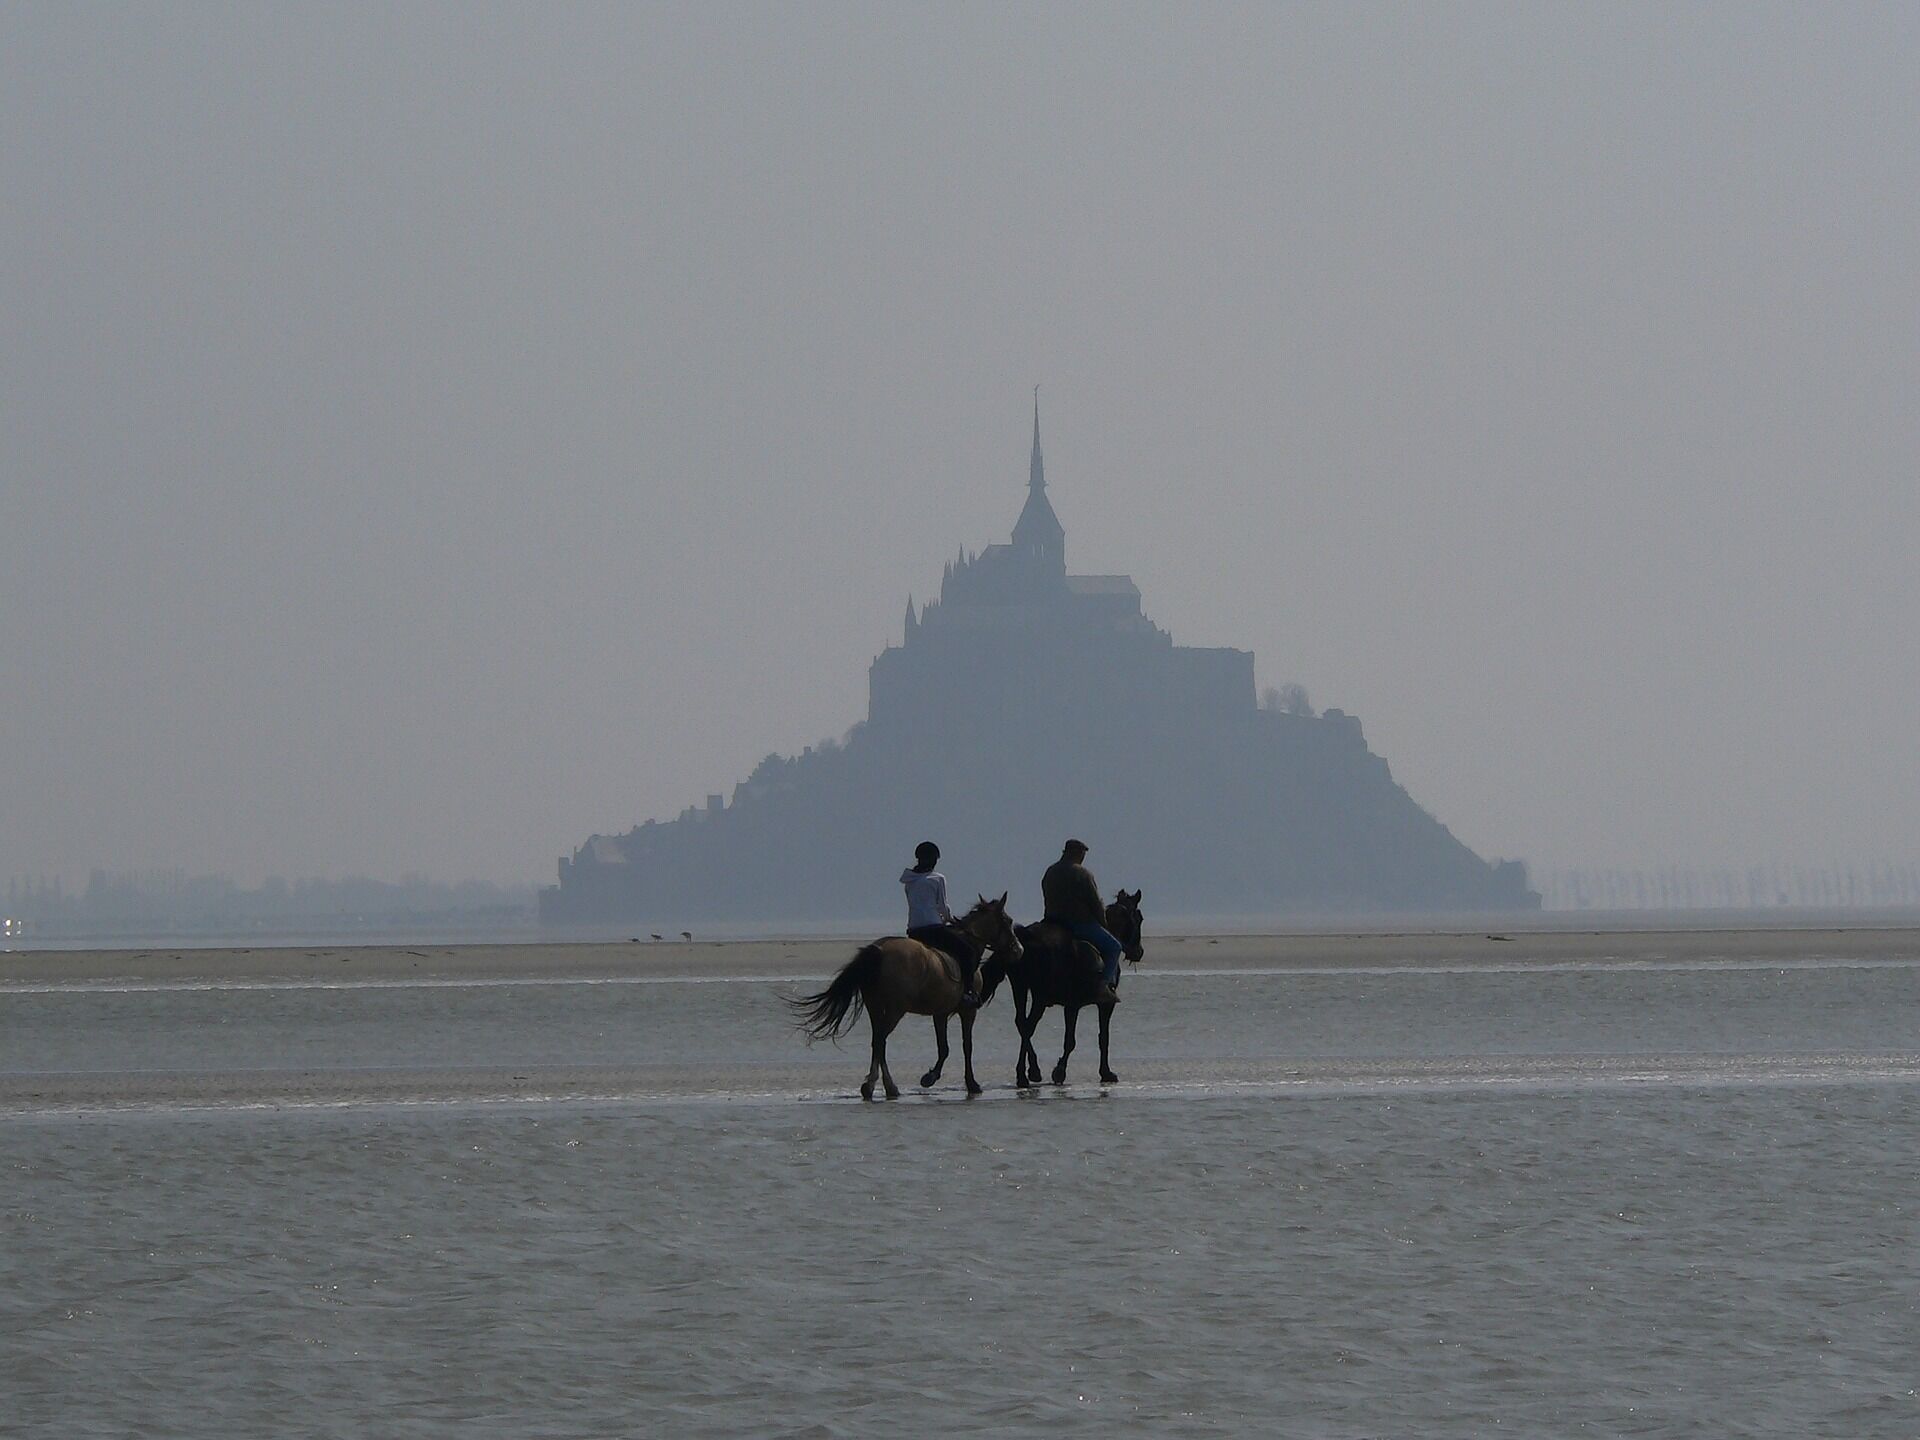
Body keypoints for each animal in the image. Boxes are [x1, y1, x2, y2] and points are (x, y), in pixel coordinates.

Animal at [783, 890, 1021, 1105]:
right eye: (1008, 921)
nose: (1019, 950)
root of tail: (879, 949)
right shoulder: (967, 1011)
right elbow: (966, 1046)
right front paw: (970, 1084)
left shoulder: (940, 1013)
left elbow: (943, 1047)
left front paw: (930, 1077)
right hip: (896, 1009)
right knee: (880, 1040)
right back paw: (880, 1086)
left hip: (874, 1006)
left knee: (878, 1042)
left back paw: (881, 1087)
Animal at [983, 890, 1144, 1090]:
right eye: (1139, 918)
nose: (1139, 952)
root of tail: (1026, 936)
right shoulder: (1094, 1004)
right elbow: (1092, 1039)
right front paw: (1066, 1071)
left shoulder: (1072, 1004)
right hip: (1040, 996)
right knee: (1028, 1026)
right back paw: (1027, 1074)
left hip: (1020, 987)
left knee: (1022, 1023)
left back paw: (1029, 1072)